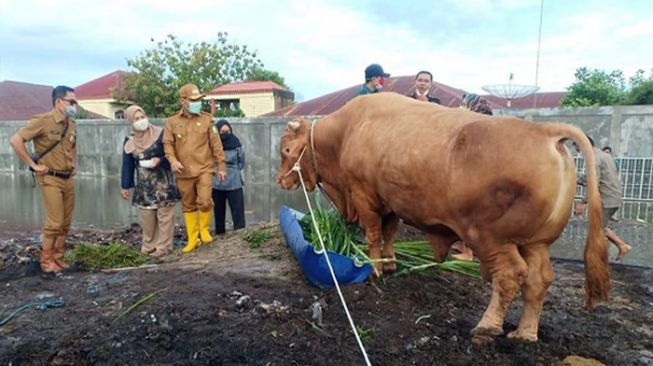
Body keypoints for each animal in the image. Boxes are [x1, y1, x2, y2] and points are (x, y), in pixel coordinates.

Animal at [276, 92, 612, 344]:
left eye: (287, 150)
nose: (281, 180)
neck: (349, 130)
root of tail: (547, 132)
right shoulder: (390, 203)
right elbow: (389, 234)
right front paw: (390, 264)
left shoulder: (365, 196)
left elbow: (373, 234)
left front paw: (375, 269)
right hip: (536, 243)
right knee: (538, 280)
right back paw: (524, 333)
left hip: (491, 239)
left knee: (510, 276)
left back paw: (487, 327)